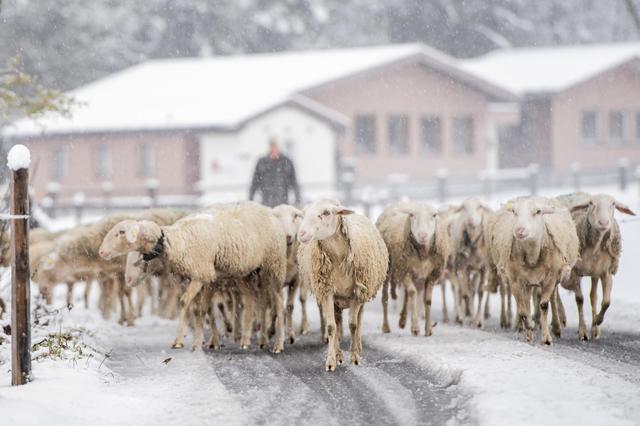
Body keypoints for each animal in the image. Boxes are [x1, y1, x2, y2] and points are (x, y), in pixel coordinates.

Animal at [99, 203, 286, 352]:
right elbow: (201, 309)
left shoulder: (200, 275)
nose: (101, 252)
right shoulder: (202, 278)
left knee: (277, 302)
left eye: (121, 232)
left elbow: (186, 304)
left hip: (273, 266)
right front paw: (205, 341)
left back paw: (278, 344)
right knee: (251, 299)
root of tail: (269, 211)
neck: (177, 242)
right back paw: (246, 340)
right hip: (244, 273)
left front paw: (181, 341)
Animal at [298, 200, 388, 370]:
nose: (301, 234)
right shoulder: (327, 292)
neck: (339, 259)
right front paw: (331, 361)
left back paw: (358, 345)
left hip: (363, 294)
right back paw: (338, 354)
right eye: (305, 214)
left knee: (359, 320)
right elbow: (331, 327)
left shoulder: (357, 292)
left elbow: (353, 324)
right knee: (338, 324)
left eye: (326, 212)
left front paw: (355, 358)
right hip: (337, 300)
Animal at [378, 201, 448, 338]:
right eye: (412, 215)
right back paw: (386, 326)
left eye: (434, 215)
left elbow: (427, 300)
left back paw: (402, 320)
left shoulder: (431, 275)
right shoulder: (404, 271)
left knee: (405, 296)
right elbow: (413, 293)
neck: (423, 253)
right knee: (385, 298)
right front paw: (415, 328)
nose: (422, 235)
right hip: (387, 270)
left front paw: (428, 329)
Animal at [490, 197, 580, 346]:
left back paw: (556, 328)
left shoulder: (550, 277)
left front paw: (546, 338)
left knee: (553, 299)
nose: (519, 230)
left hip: (554, 276)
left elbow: (544, 305)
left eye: (538, 212)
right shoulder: (514, 279)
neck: (532, 256)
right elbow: (522, 310)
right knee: (526, 301)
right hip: (526, 281)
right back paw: (530, 331)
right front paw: (530, 328)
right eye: (514, 212)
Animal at [556, 192, 636, 340]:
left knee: (593, 296)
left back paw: (594, 329)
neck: (596, 245)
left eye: (613, 204)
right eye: (591, 203)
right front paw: (582, 331)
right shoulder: (574, 271)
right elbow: (579, 299)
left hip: (594, 273)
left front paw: (597, 321)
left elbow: (606, 301)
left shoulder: (606, 273)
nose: (603, 223)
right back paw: (561, 319)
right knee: (554, 292)